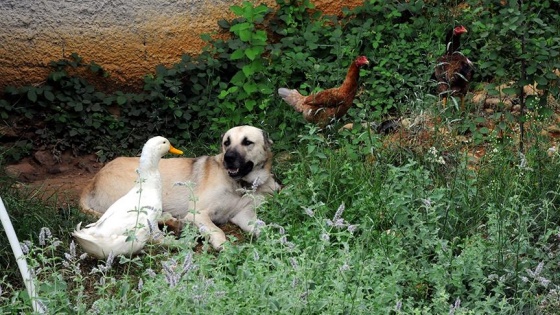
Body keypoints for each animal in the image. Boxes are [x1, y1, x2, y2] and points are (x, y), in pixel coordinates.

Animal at [79, 124, 280, 251]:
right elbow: (218, 230)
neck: (240, 185)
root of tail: (93, 180)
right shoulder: (198, 213)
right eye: (227, 142)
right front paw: (222, 245)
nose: (228, 158)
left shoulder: (244, 216)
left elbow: (264, 227)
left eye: (247, 142)